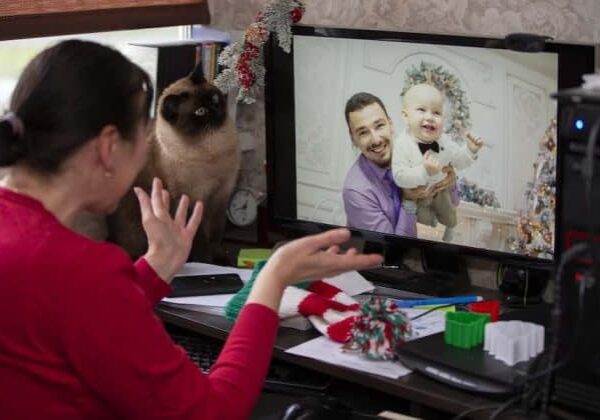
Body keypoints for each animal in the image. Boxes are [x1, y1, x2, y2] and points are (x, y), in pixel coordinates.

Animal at [109, 63, 240, 262]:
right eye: (200, 112)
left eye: (214, 99)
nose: (217, 111)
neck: (213, 150)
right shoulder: (193, 201)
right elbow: (200, 240)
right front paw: (205, 261)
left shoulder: (220, 199)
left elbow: (216, 237)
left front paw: (220, 260)